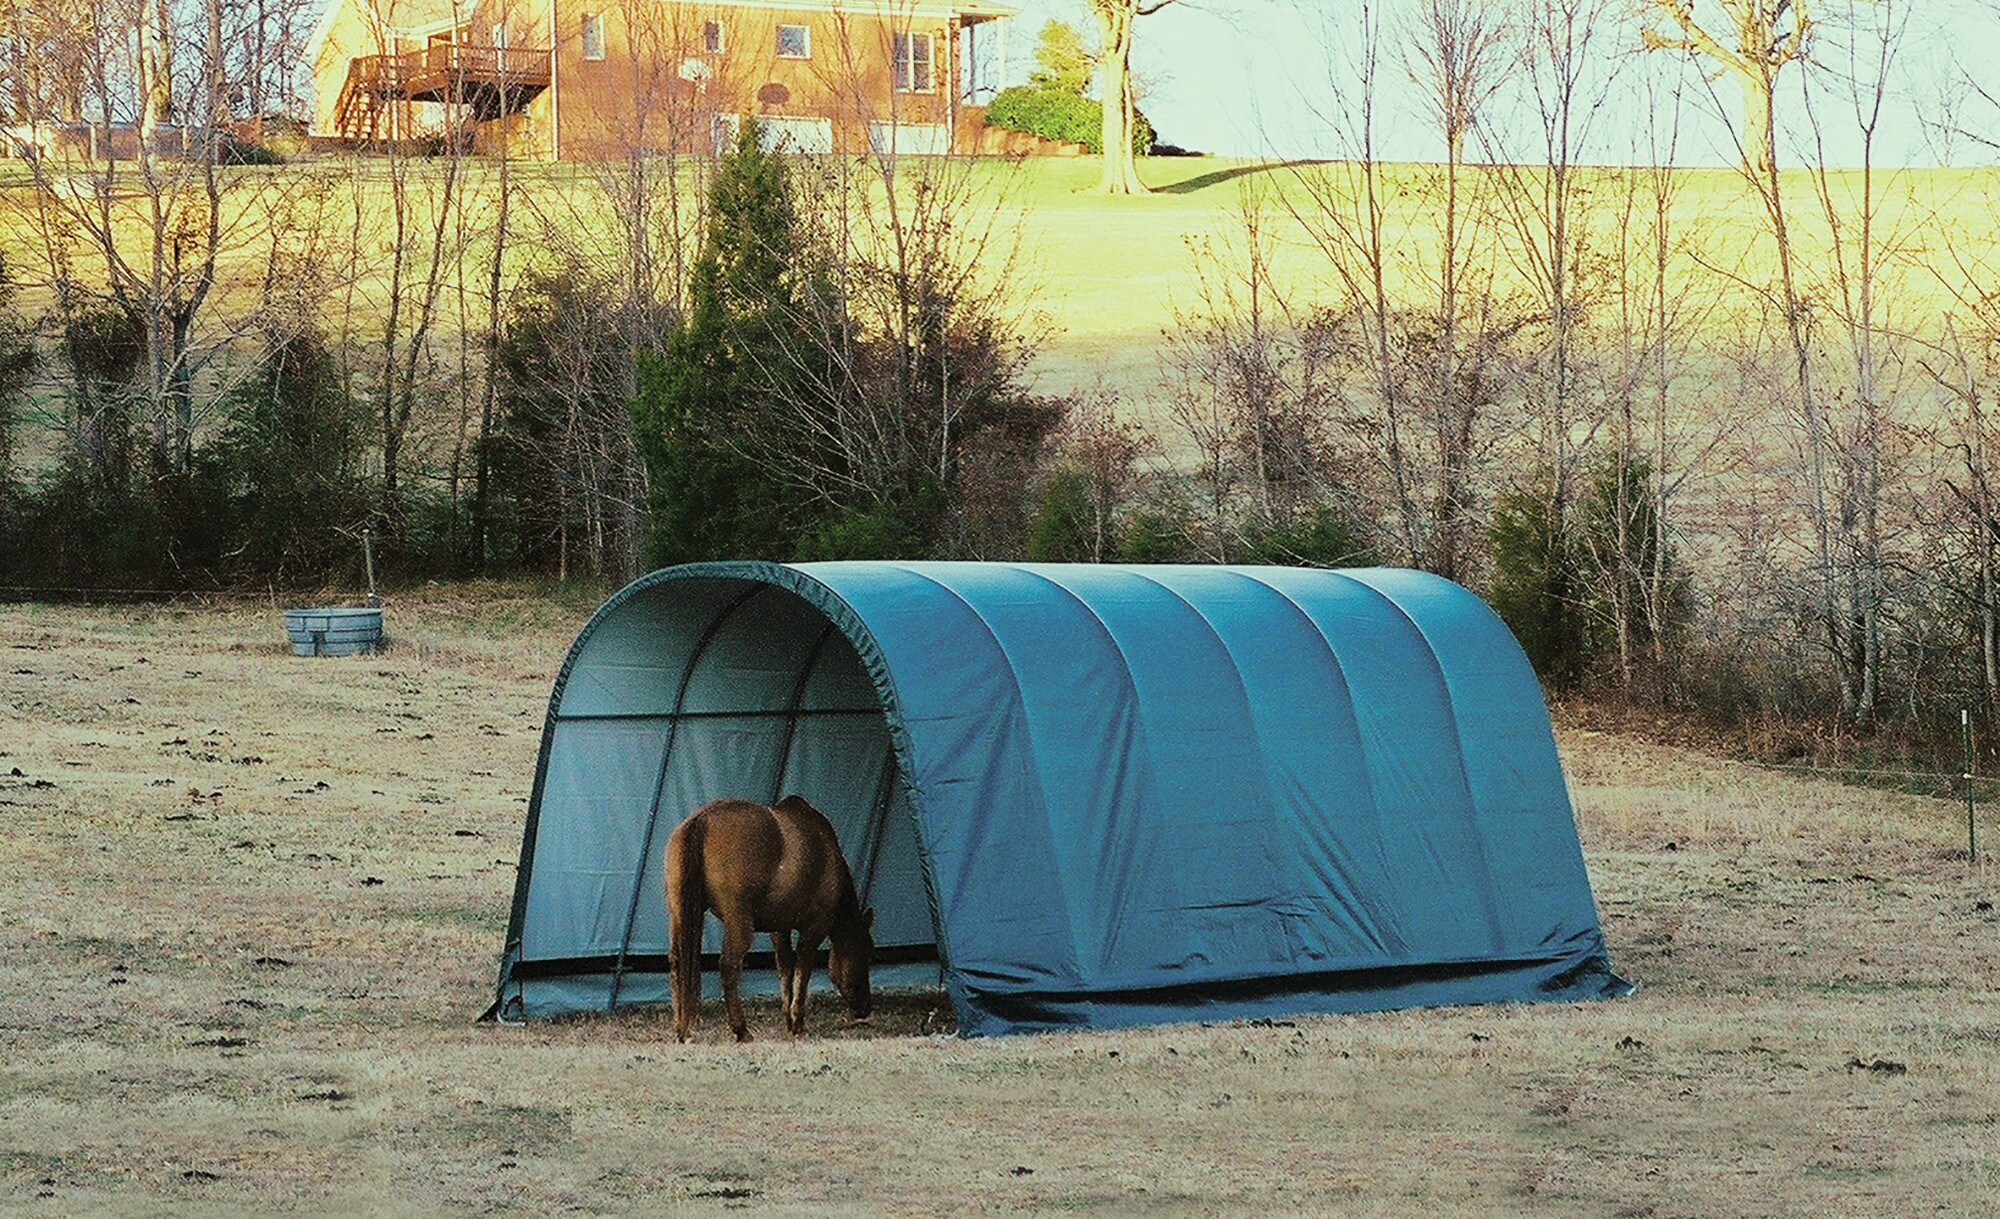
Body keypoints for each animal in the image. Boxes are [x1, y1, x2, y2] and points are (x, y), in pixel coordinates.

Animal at [664, 791, 876, 1039]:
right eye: (867, 954)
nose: (865, 1008)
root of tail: (702, 820)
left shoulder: (779, 929)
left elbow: (785, 967)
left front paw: (789, 1020)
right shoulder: (815, 927)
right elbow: (802, 970)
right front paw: (798, 1022)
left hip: (678, 914)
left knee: (677, 961)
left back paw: (681, 1028)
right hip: (739, 922)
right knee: (728, 966)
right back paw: (741, 1030)